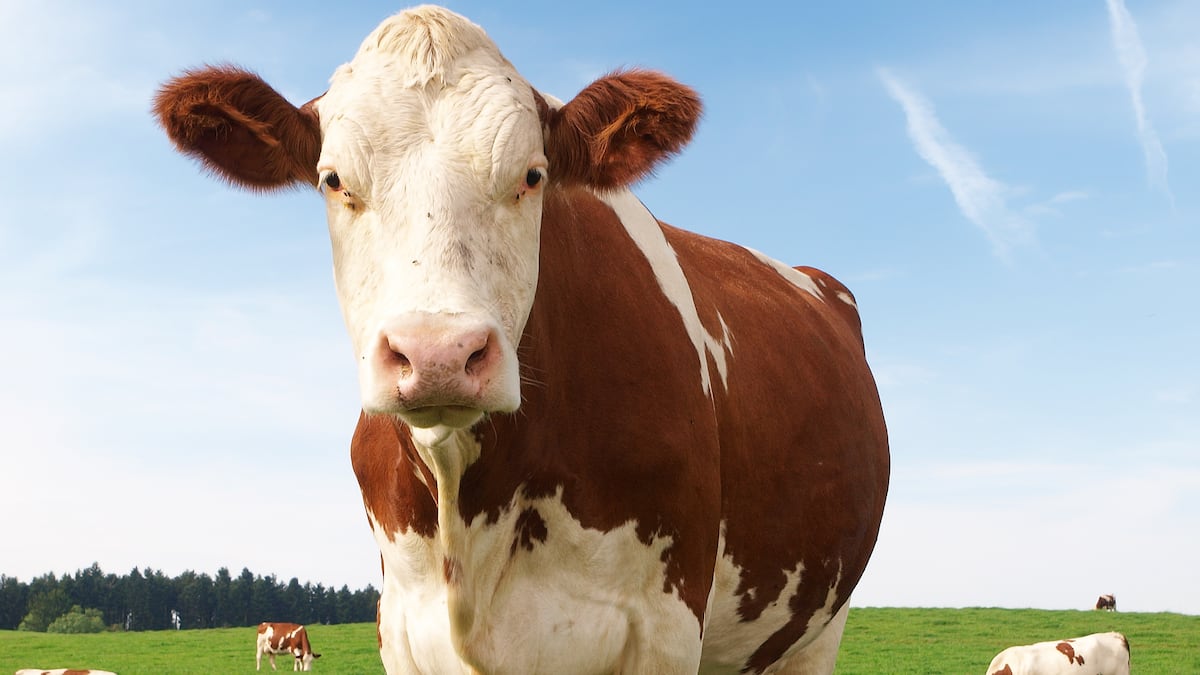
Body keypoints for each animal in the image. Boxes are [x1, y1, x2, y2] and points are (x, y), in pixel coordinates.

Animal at [153, 5, 890, 674]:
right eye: (333, 180)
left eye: (532, 175)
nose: (439, 355)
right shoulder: (401, 627)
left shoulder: (665, 625)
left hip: (818, 629)